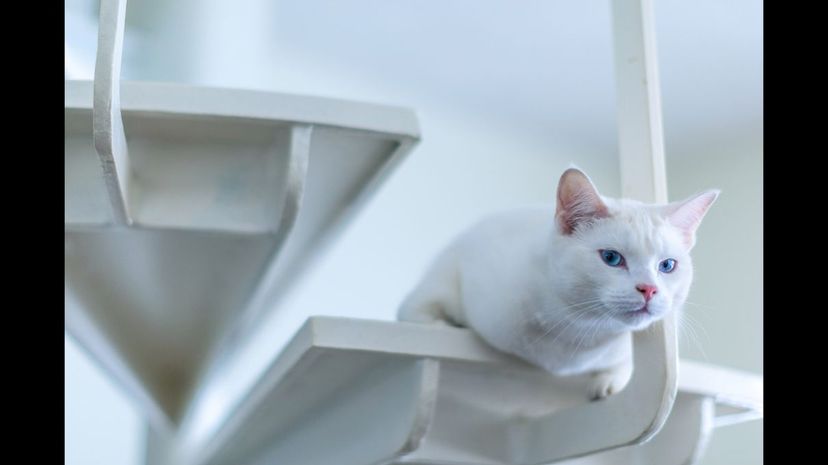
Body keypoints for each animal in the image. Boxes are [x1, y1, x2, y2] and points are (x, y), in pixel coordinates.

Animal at [398, 168, 716, 398]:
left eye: (667, 266)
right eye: (612, 258)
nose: (649, 289)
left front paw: (608, 382)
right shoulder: (454, 272)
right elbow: (417, 314)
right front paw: (440, 325)